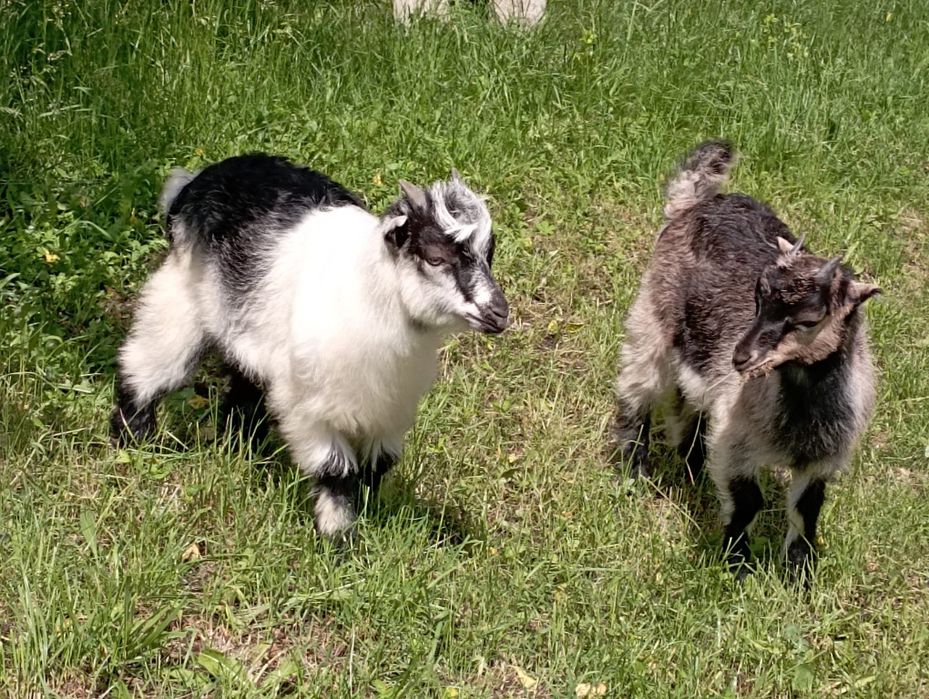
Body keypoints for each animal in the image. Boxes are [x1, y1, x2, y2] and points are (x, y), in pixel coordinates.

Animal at [111, 154, 509, 537]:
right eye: (435, 257)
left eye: (489, 254)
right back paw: (133, 444)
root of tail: (195, 183)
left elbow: (377, 465)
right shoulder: (310, 407)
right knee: (147, 366)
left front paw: (367, 517)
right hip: (182, 295)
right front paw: (338, 539)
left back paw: (241, 448)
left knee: (242, 387)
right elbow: (336, 469)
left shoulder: (389, 408)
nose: (499, 313)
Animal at [612, 141, 879, 577]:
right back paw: (634, 471)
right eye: (758, 296)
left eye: (809, 319)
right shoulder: (736, 440)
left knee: (686, 403)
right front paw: (737, 564)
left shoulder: (823, 458)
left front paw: (800, 575)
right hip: (652, 315)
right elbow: (748, 501)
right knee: (638, 386)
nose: (741, 357)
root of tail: (695, 202)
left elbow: (807, 511)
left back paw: (692, 469)